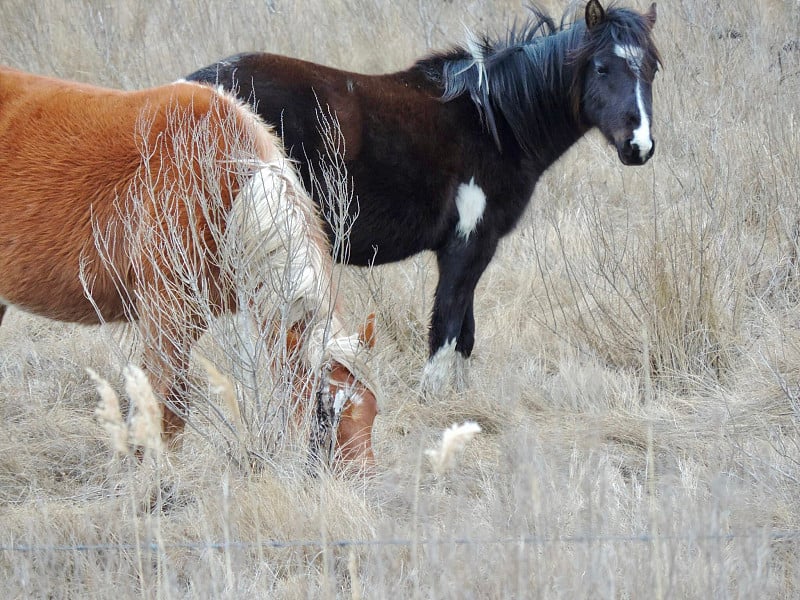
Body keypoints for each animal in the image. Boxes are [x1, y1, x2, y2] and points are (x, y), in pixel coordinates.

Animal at [0, 65, 380, 468]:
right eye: (324, 411)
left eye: (374, 411)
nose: (365, 479)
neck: (218, 175)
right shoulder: (164, 315)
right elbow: (159, 400)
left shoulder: (191, 319)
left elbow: (175, 409)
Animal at [188, 0, 664, 396]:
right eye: (601, 68)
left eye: (652, 70)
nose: (638, 146)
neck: (492, 121)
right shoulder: (469, 244)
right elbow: (447, 328)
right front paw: (436, 403)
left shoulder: (464, 247)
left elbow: (464, 334)